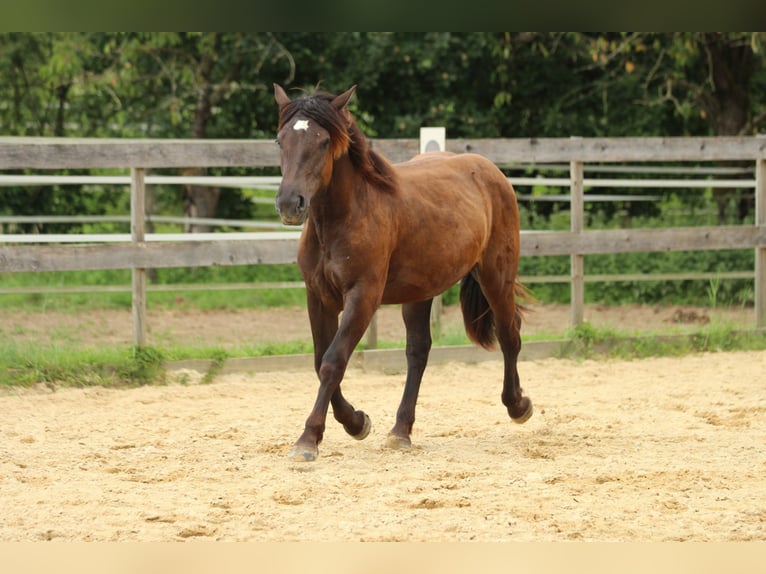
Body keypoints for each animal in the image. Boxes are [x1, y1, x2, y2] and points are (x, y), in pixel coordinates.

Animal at [274, 84, 536, 464]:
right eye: (280, 140)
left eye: (323, 142)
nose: (289, 204)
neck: (342, 218)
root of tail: (490, 171)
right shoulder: (318, 297)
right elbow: (319, 360)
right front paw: (356, 422)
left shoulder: (363, 297)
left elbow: (333, 362)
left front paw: (309, 439)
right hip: (420, 291)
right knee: (418, 352)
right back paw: (400, 431)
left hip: (495, 277)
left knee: (508, 334)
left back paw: (518, 406)